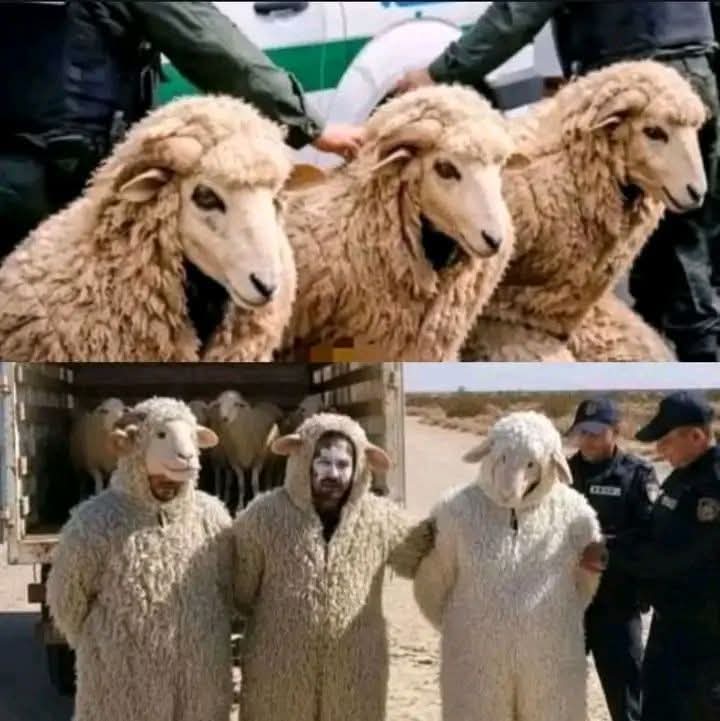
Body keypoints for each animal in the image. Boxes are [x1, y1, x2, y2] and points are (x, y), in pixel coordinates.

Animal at [46, 397, 234, 721]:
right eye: (160, 434)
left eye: (193, 435)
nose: (188, 457)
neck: (161, 513)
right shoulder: (80, 542)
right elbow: (68, 600)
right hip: (126, 692)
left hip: (199, 685)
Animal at [413, 411, 602, 721]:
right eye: (501, 456)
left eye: (532, 463)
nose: (506, 494)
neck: (515, 515)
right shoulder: (444, 534)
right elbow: (433, 581)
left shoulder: (586, 528)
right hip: (480, 679)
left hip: (549, 676)